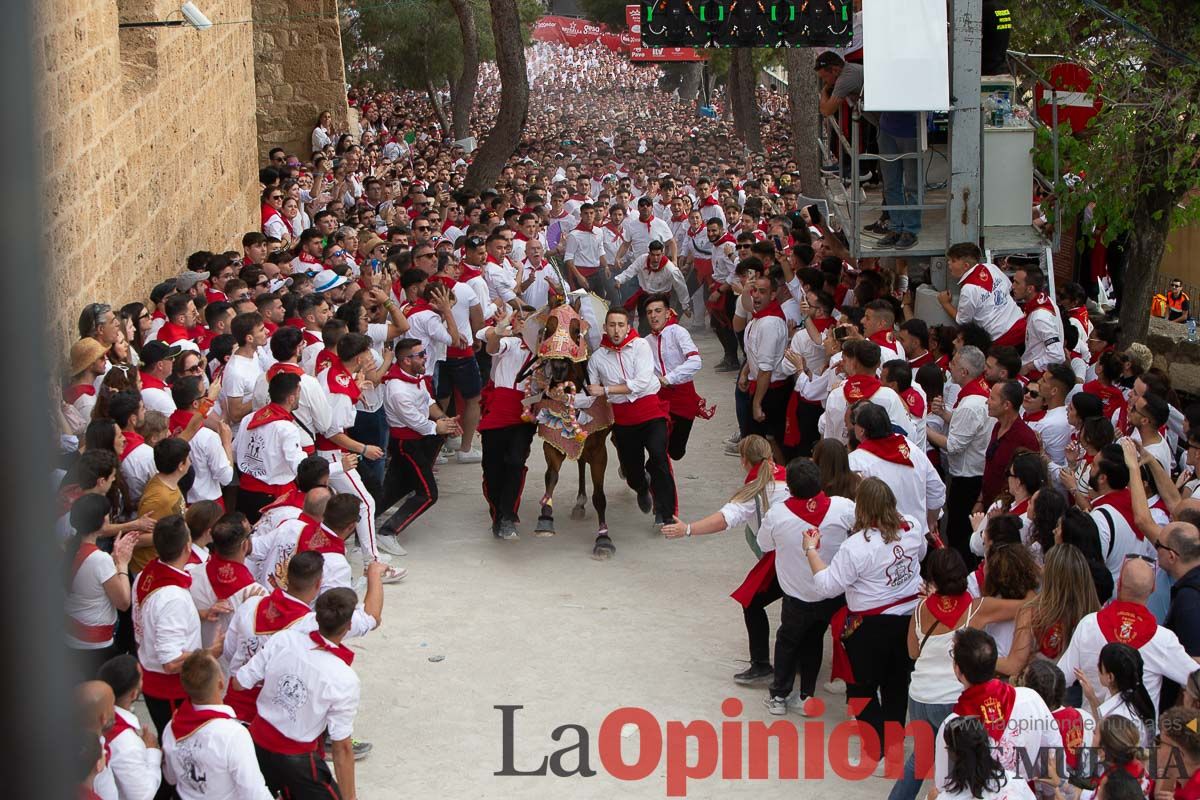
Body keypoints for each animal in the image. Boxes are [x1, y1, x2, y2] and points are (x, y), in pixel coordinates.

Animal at [525, 297, 619, 561]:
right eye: (548, 329)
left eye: (577, 331)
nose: (557, 367)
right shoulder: (552, 440)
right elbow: (551, 476)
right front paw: (545, 519)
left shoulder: (598, 449)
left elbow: (600, 496)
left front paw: (603, 540)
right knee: (579, 462)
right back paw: (579, 502)